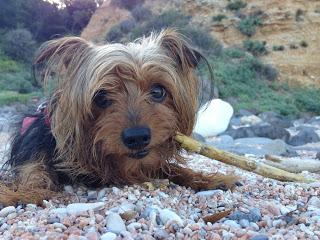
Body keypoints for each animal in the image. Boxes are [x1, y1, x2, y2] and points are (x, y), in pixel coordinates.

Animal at [0, 29, 235, 205]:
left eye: (158, 91)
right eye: (101, 97)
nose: (137, 137)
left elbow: (173, 168)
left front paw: (207, 178)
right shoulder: (33, 151)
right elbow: (34, 176)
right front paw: (23, 193)